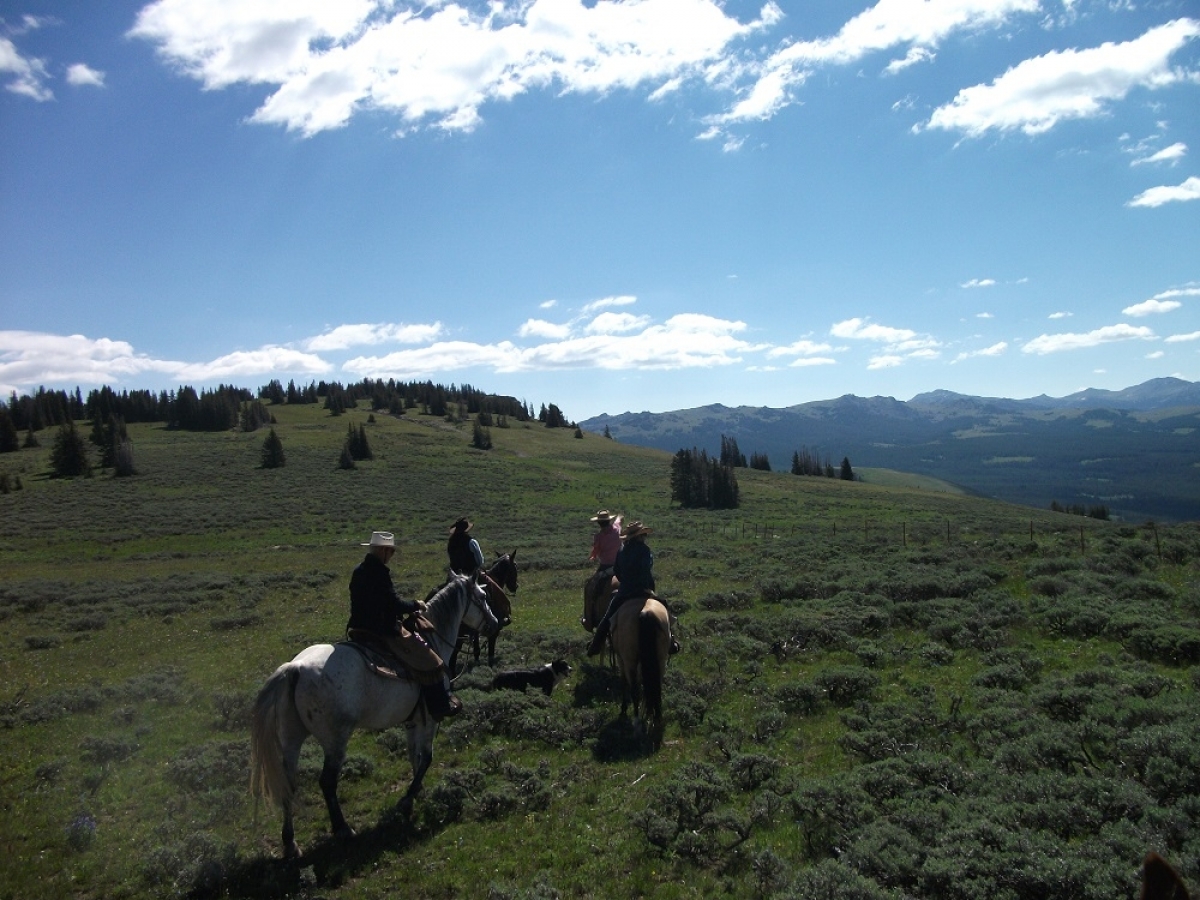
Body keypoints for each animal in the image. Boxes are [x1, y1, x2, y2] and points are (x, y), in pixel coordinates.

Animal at [249, 572, 499, 859]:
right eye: (482, 596)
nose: (494, 624)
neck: (432, 641)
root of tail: (295, 668)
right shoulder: (431, 719)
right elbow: (427, 757)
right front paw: (407, 799)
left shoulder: (414, 721)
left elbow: (414, 756)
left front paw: (416, 792)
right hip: (335, 740)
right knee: (327, 782)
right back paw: (343, 829)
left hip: (292, 738)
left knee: (288, 781)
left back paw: (290, 842)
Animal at [608, 594, 672, 747]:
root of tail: (645, 613)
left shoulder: (621, 660)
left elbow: (624, 683)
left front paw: (623, 709)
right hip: (660, 660)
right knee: (657, 688)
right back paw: (657, 720)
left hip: (629, 660)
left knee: (634, 691)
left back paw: (636, 725)